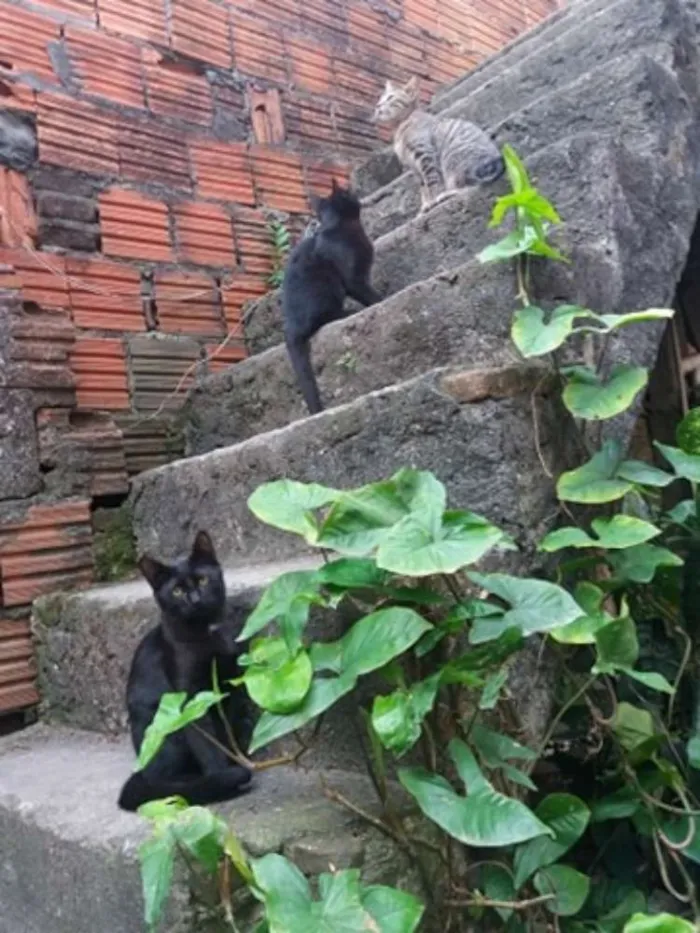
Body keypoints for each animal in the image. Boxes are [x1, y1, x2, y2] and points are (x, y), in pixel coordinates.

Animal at [282, 180, 380, 414]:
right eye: (348, 192)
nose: (356, 191)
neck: (337, 227)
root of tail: (289, 325)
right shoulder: (354, 280)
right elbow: (372, 295)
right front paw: (381, 300)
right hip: (326, 288)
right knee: (324, 319)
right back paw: (348, 311)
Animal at [372, 76, 504, 211]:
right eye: (381, 99)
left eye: (390, 97)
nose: (377, 105)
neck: (400, 126)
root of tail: (495, 162)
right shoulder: (413, 167)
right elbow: (423, 187)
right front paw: (425, 204)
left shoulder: (425, 155)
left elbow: (432, 182)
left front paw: (433, 200)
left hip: (453, 162)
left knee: (470, 187)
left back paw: (447, 194)